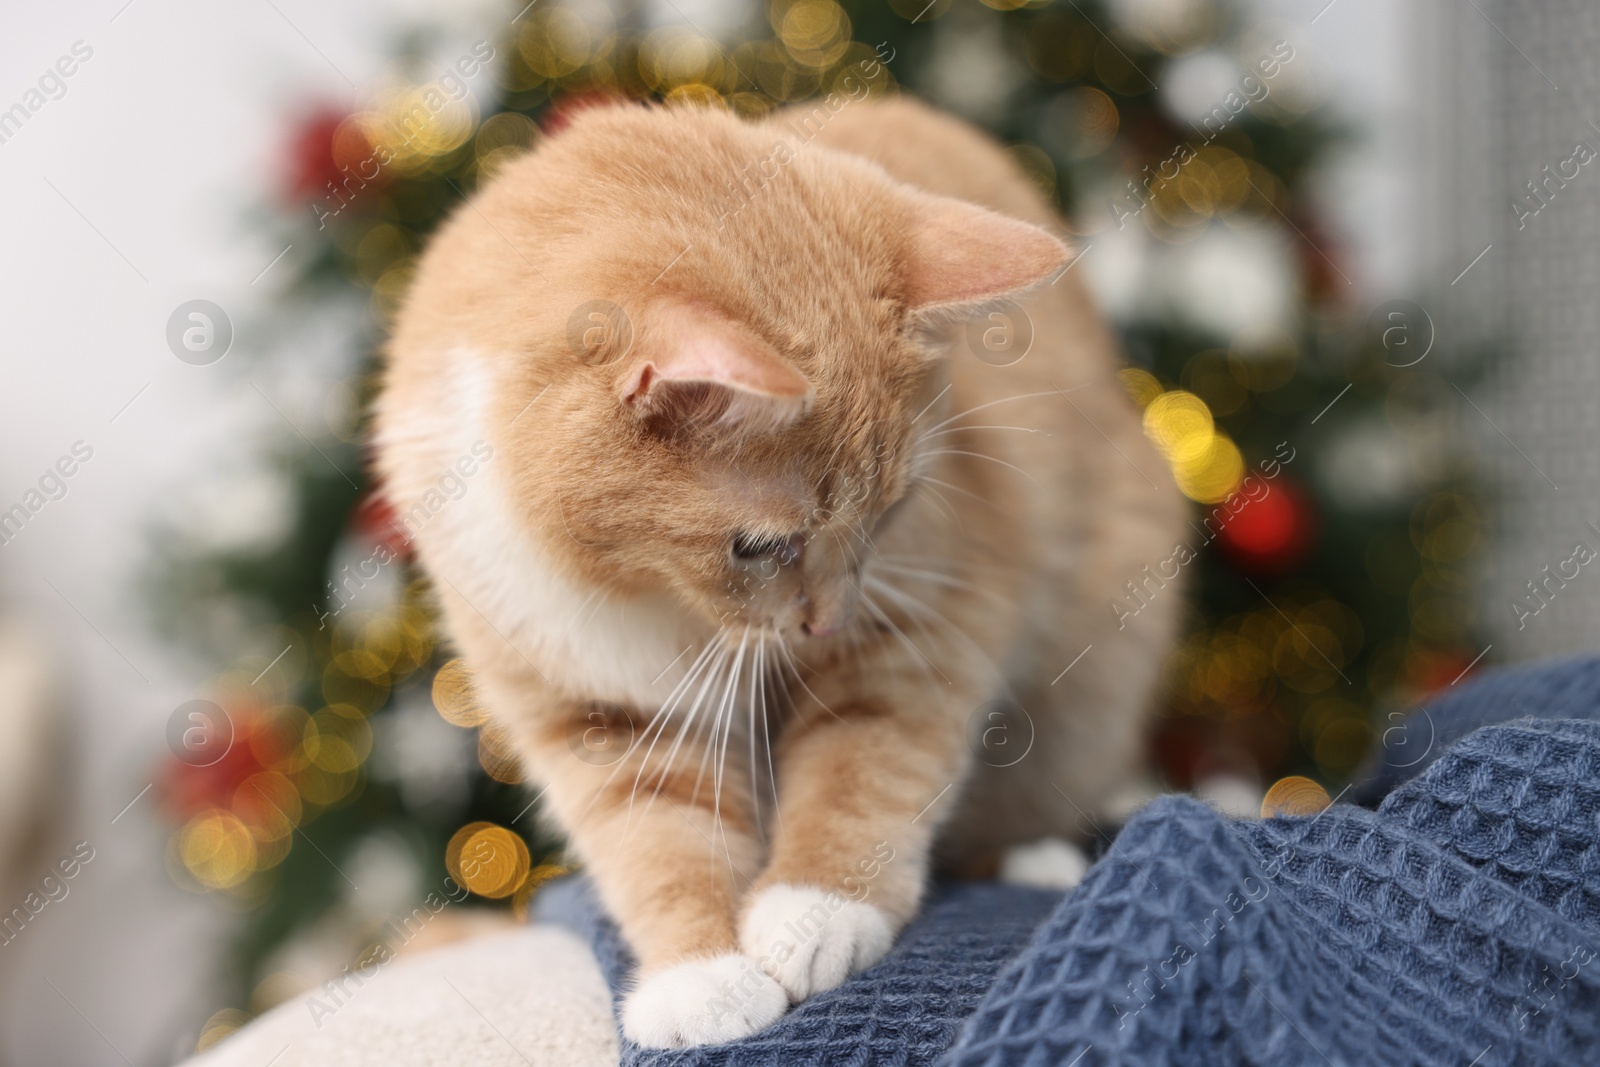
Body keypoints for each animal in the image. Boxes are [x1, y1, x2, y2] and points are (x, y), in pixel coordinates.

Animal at [371, 95, 1177, 1049]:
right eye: (757, 547)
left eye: (892, 510)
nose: (825, 619)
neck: (646, 594)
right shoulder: (590, 708)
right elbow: (655, 840)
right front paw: (698, 974)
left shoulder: (919, 620)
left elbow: (863, 768)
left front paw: (815, 910)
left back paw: (1034, 854)